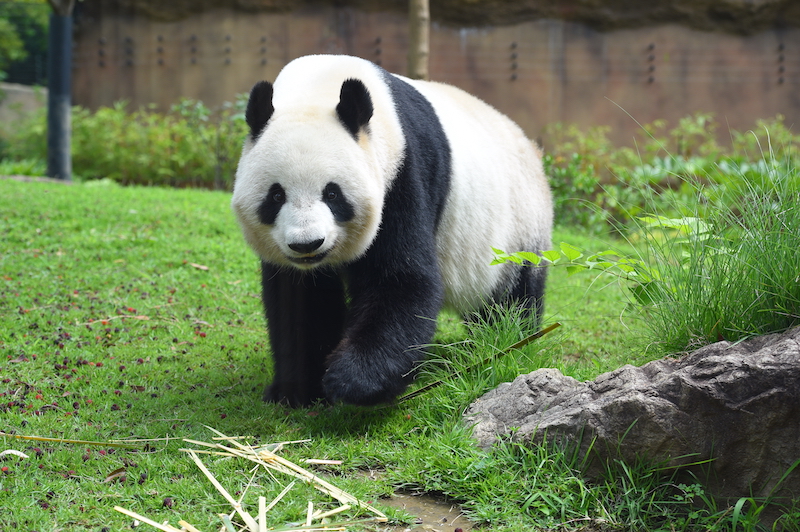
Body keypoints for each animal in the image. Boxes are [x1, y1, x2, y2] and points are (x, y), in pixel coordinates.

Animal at [233, 54, 552, 406]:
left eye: (332, 194)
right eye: (276, 196)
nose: (307, 244)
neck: (317, 85)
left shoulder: (402, 173)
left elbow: (401, 279)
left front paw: (353, 380)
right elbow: (301, 300)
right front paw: (297, 391)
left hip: (518, 228)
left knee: (511, 299)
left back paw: (502, 340)